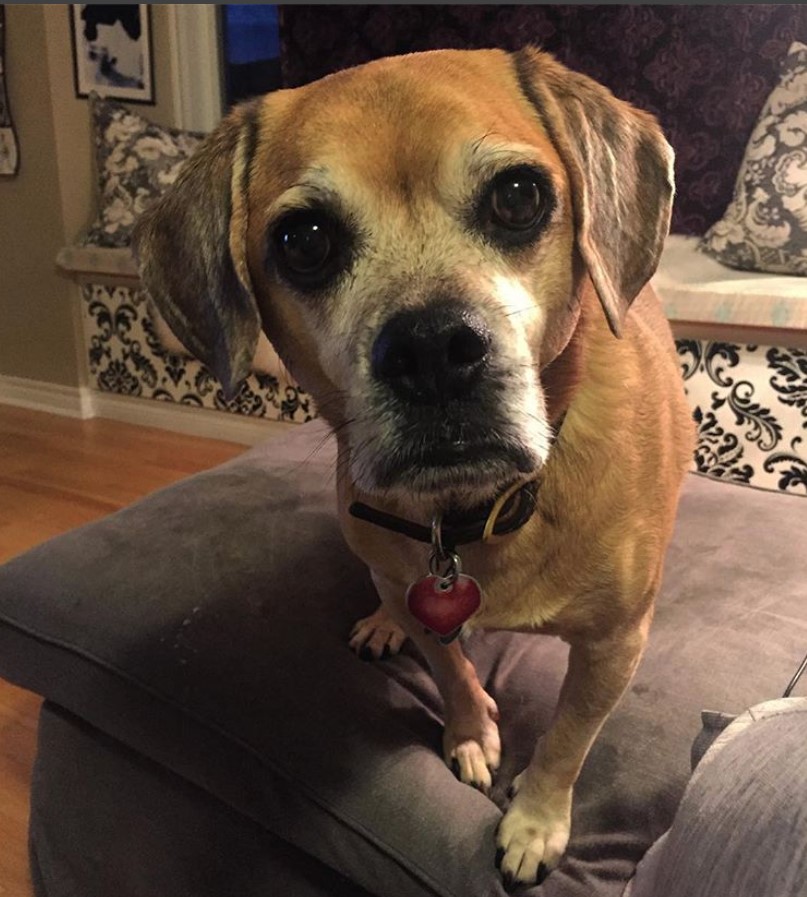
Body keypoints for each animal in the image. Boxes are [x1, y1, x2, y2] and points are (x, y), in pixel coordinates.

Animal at [133, 47, 696, 880]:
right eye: (303, 239)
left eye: (519, 196)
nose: (431, 349)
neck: (475, 510)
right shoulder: (417, 592)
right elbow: (449, 667)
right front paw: (469, 732)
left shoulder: (612, 645)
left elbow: (567, 736)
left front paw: (535, 821)